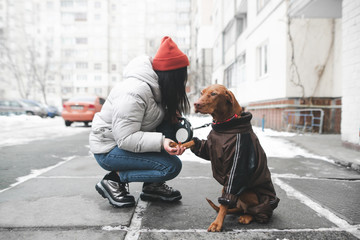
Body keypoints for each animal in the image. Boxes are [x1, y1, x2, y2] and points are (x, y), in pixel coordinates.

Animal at [173, 84, 280, 232]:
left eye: (214, 94)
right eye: (202, 93)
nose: (196, 104)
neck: (224, 126)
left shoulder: (237, 168)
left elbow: (225, 201)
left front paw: (217, 223)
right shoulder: (208, 147)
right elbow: (195, 143)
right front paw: (177, 145)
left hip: (247, 192)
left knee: (250, 210)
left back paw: (247, 216)